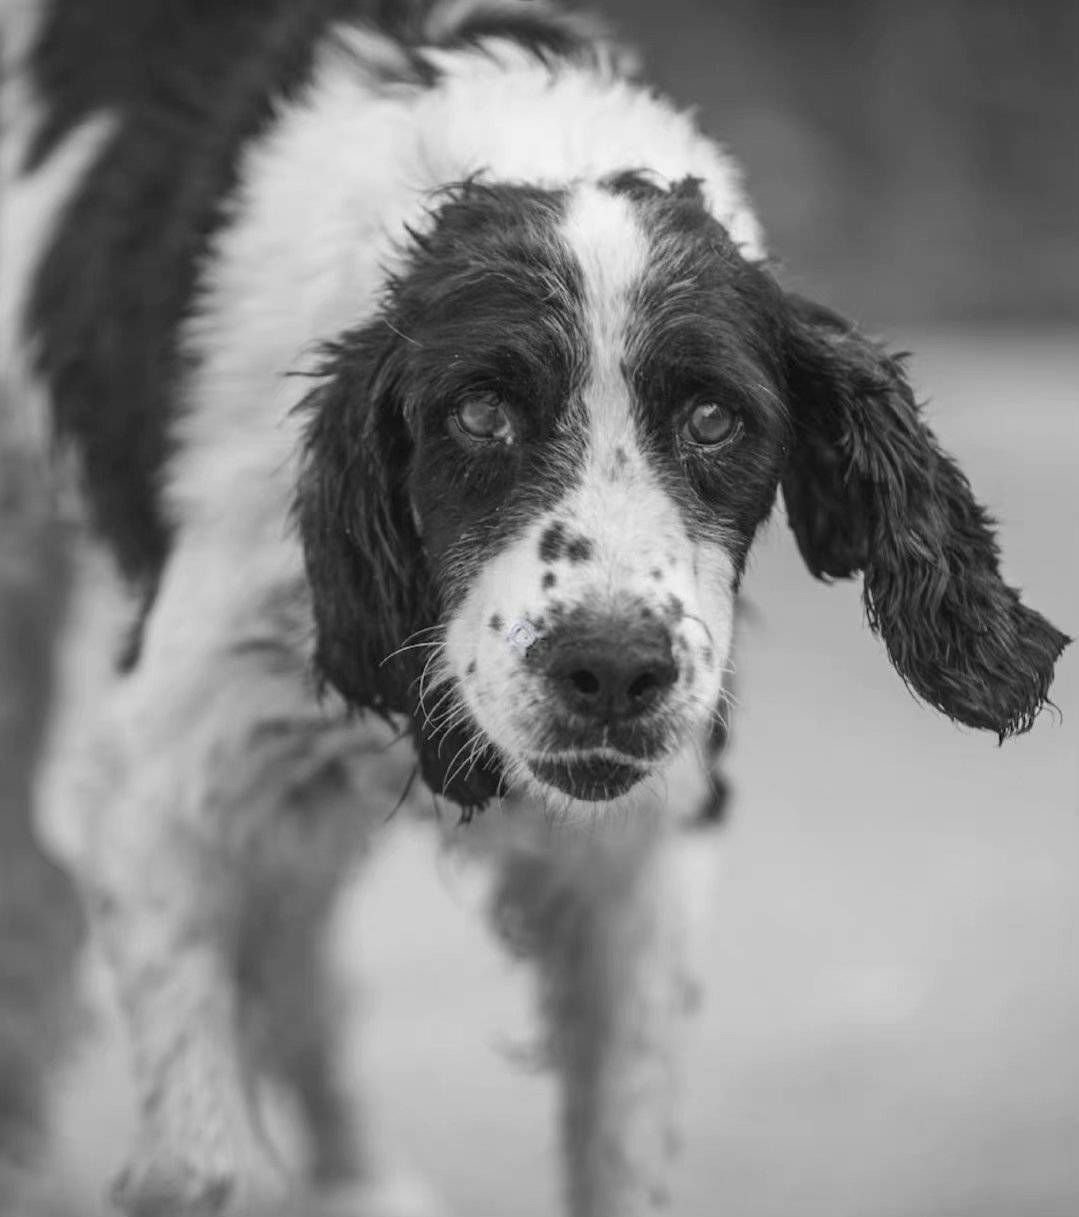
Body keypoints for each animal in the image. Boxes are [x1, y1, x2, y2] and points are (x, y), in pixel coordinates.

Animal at [0, 2, 1065, 1217]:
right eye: (477, 412)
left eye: (713, 419)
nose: (609, 669)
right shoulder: (156, 786)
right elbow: (203, 1154)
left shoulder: (642, 856)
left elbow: (621, 1153)